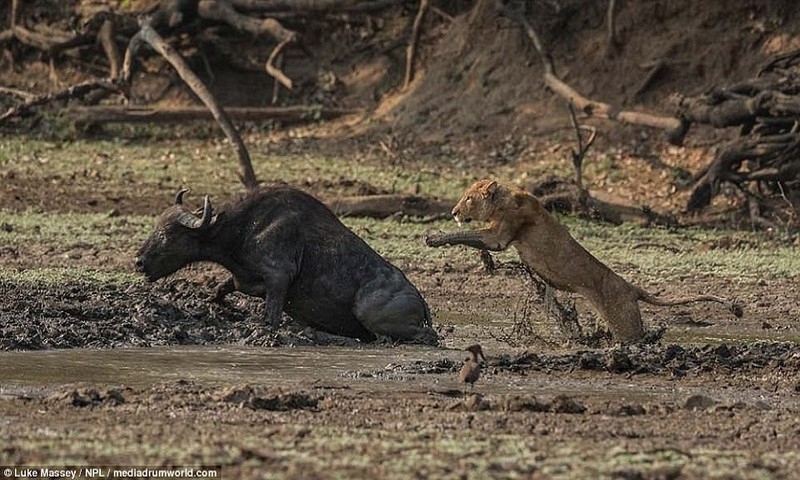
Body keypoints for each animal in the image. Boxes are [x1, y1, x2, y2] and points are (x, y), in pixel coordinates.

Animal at [137, 185, 438, 344]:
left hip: (370, 314)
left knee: (427, 335)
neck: (244, 229)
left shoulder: (278, 277)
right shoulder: (243, 278)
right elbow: (221, 289)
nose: (139, 262)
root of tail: (420, 300)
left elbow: (271, 316)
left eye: (168, 234)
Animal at [424, 179, 744, 342]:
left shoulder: (501, 235)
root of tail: (631, 287)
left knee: (635, 336)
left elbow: (466, 234)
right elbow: (474, 240)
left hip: (623, 320)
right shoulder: (499, 238)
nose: (453, 211)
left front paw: (434, 237)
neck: (502, 199)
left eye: (468, 198)